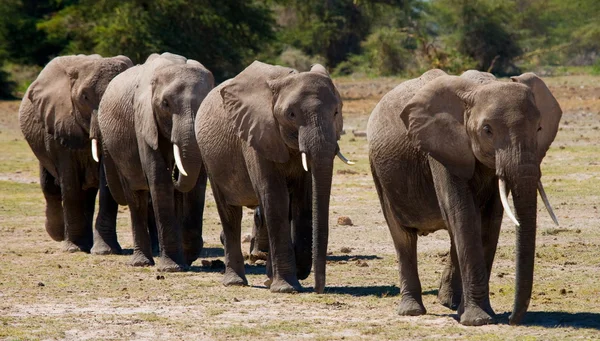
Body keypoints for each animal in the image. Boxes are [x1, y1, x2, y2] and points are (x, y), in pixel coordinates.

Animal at [19, 53, 133, 252]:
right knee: (50, 186)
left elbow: (106, 185)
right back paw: (59, 234)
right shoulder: (60, 120)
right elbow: (70, 184)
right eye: (85, 97)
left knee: (87, 194)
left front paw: (105, 251)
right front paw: (73, 248)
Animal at [96, 52, 213, 270]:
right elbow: (159, 179)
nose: (175, 171)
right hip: (119, 152)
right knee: (136, 198)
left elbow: (198, 183)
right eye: (165, 104)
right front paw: (172, 268)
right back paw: (141, 262)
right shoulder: (143, 119)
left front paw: (187, 256)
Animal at [195, 61, 350, 292]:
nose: (319, 289)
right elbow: (275, 197)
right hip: (210, 158)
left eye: (336, 112)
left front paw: (295, 274)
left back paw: (268, 277)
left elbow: (303, 201)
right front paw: (286, 288)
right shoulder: (256, 134)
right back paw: (235, 282)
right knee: (230, 213)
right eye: (291, 115)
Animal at [366, 68, 564, 324]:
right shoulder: (441, 149)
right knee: (403, 237)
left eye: (539, 128)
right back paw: (412, 310)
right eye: (487, 130)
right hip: (379, 171)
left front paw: (481, 315)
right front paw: (479, 320)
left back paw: (449, 303)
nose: (512, 318)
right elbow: (463, 214)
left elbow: (489, 221)